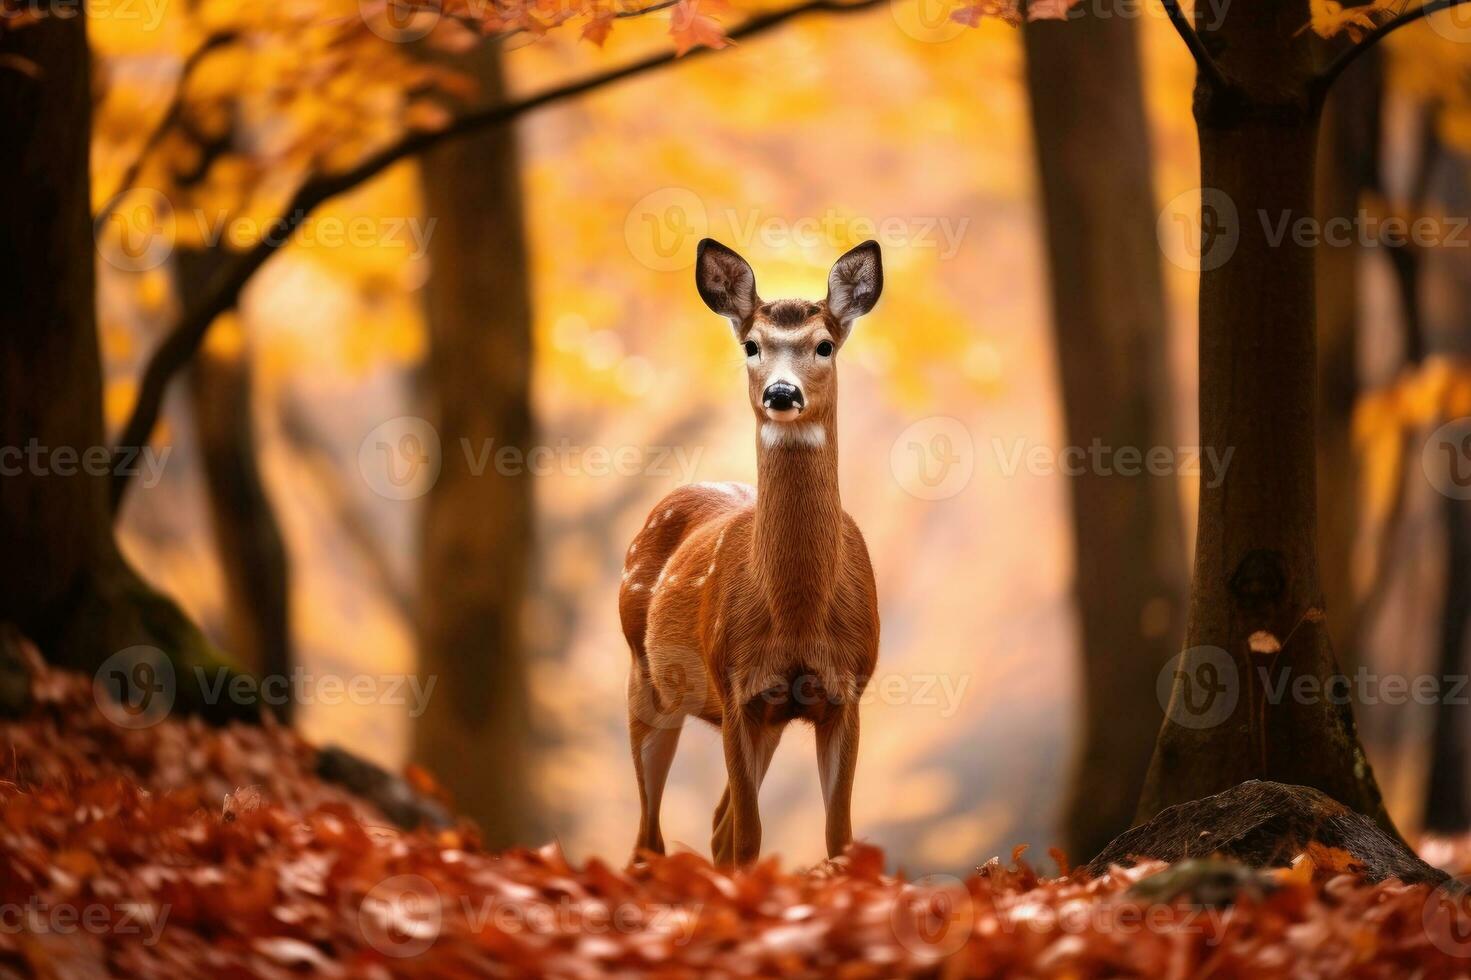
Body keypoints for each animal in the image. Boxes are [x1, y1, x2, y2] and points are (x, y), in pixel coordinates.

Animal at [614, 239, 876, 865]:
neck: (799, 618)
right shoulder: (736, 687)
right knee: (650, 837)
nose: (782, 393)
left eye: (824, 345)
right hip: (645, 678)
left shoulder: (846, 690)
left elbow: (838, 836)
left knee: (714, 823)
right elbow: (750, 840)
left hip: (768, 718)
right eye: (751, 345)